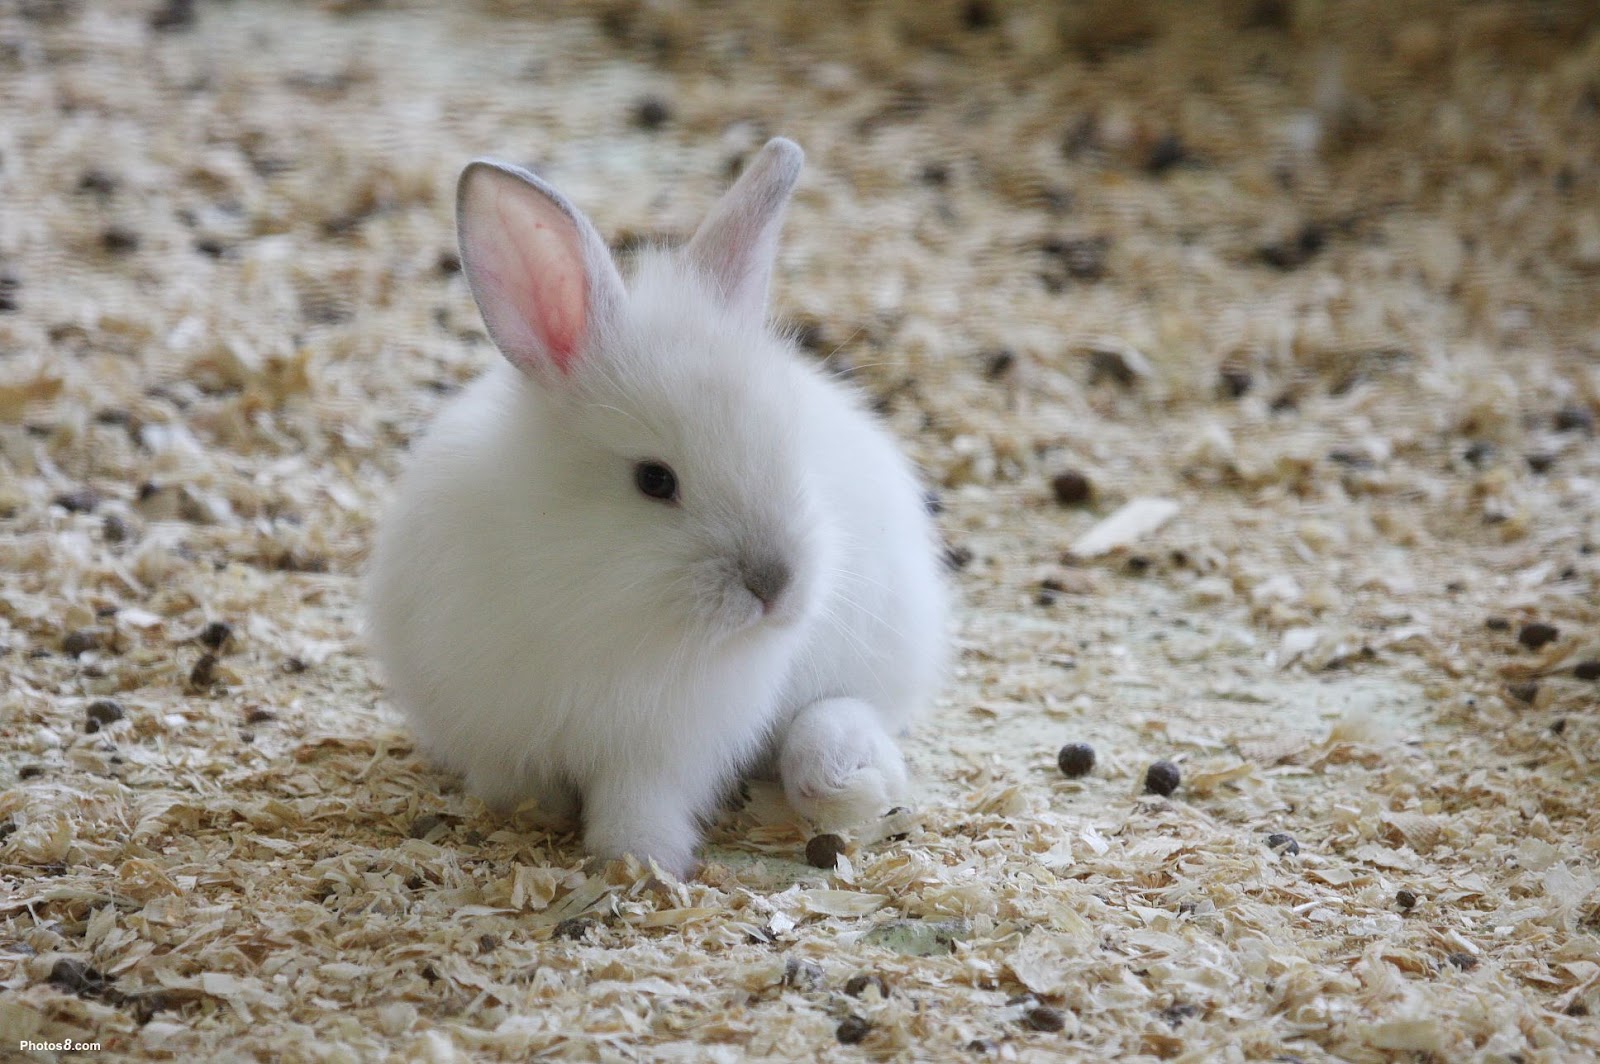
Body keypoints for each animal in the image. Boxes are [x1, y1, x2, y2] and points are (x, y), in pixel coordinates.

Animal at [366, 136, 947, 876]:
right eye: (654, 480)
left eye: (792, 453)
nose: (777, 588)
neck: (594, 596)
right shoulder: (492, 727)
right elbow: (513, 781)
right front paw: (534, 816)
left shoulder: (663, 750)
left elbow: (640, 802)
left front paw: (637, 861)